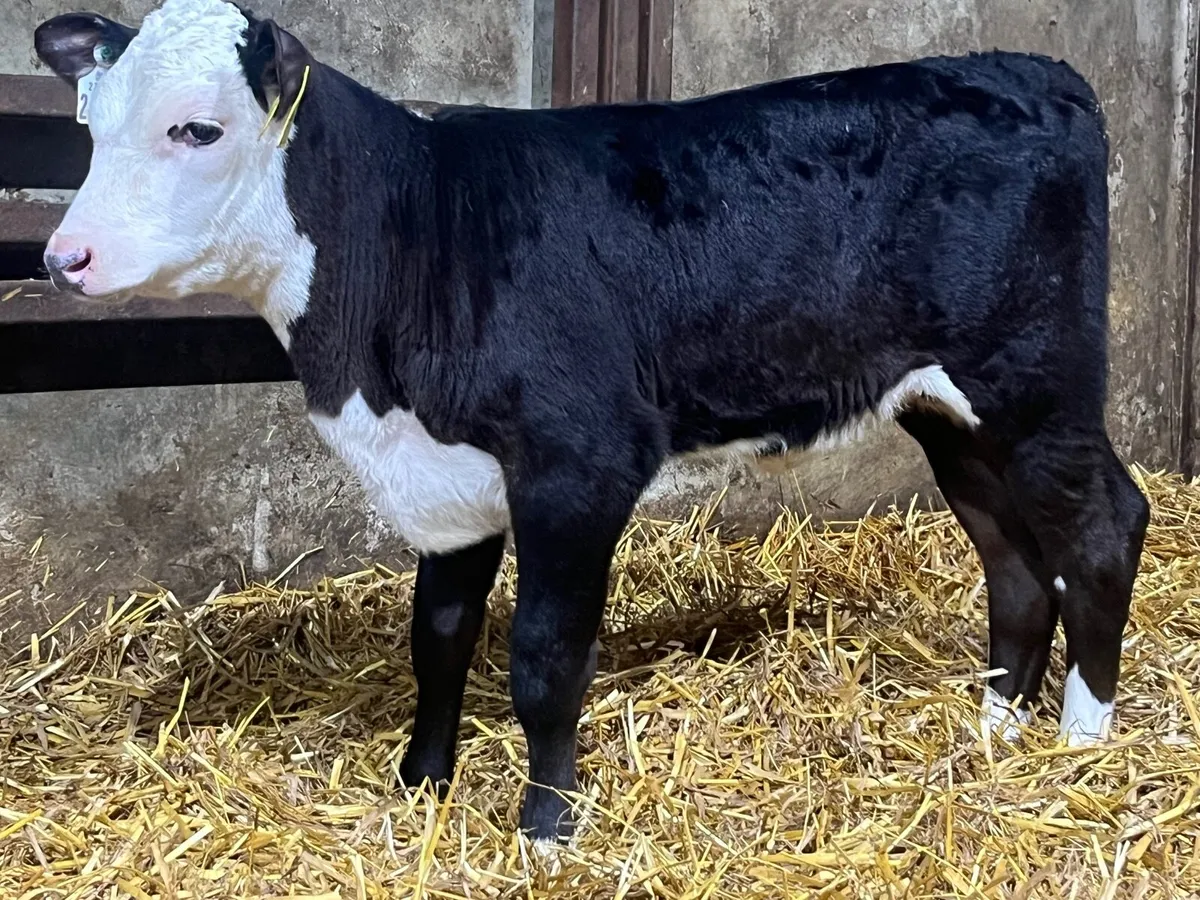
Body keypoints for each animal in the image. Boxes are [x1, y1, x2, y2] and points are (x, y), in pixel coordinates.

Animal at [33, 0, 1149, 844]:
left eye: (197, 127)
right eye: (88, 126)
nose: (62, 258)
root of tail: (1035, 69)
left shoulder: (579, 463)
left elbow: (543, 657)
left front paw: (545, 826)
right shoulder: (447, 481)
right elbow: (438, 639)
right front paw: (422, 786)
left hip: (1035, 379)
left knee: (1103, 525)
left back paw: (1083, 744)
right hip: (950, 411)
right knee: (1013, 558)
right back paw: (995, 731)